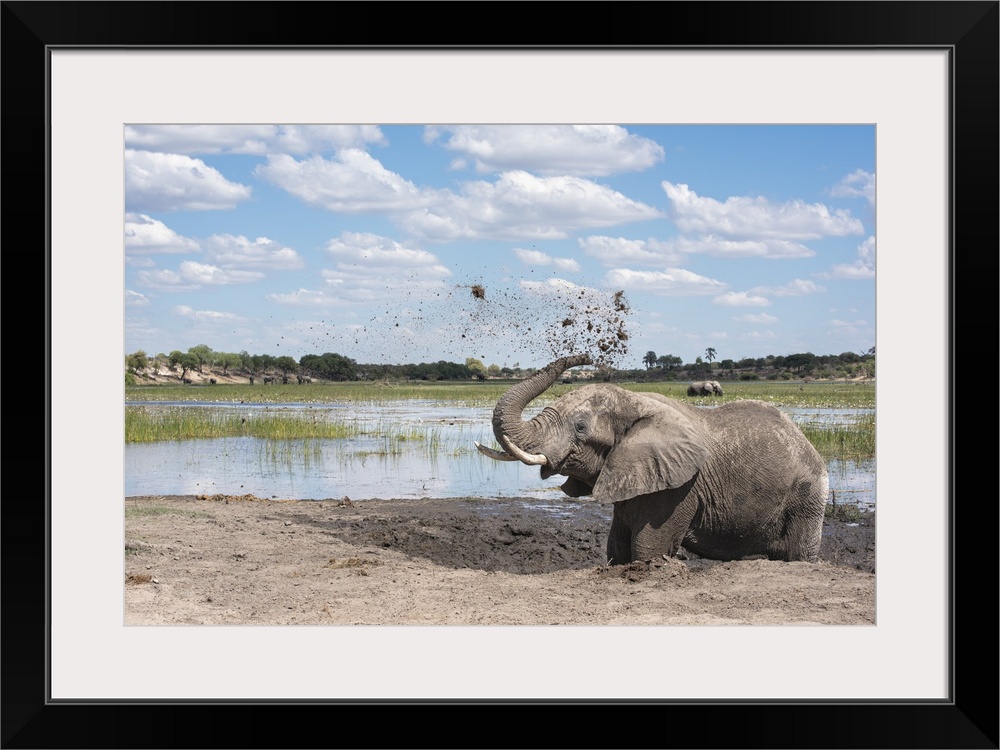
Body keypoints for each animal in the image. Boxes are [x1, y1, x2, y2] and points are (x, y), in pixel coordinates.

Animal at [476, 356, 828, 564]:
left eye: (580, 427)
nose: (586, 356)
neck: (635, 401)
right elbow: (616, 547)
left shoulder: (680, 487)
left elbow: (647, 548)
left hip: (807, 495)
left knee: (800, 552)